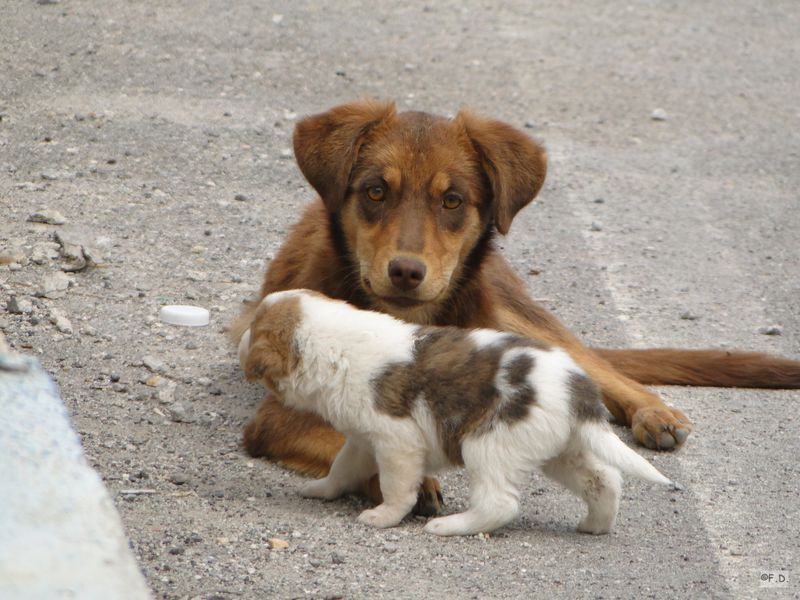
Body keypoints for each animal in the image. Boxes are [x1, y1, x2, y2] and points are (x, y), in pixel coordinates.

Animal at [239, 290, 676, 536]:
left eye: (255, 329)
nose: (239, 337)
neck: (334, 346)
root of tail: (577, 386)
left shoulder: (397, 443)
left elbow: (398, 488)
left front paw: (383, 517)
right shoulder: (363, 441)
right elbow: (341, 470)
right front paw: (321, 490)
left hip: (489, 446)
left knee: (500, 504)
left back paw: (449, 526)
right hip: (561, 449)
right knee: (605, 480)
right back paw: (594, 526)